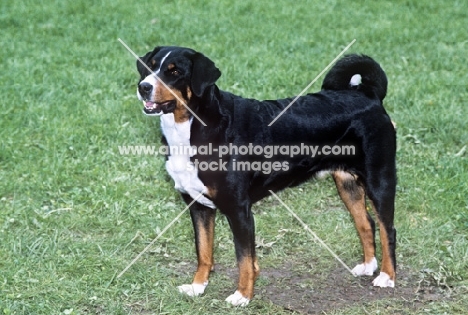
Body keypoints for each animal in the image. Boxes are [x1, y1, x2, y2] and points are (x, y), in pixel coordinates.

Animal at [134, 45, 394, 308]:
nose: (143, 87)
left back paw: (387, 276)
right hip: (347, 183)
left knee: (387, 230)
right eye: (149, 67)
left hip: (379, 180)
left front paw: (242, 295)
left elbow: (244, 259)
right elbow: (204, 252)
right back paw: (368, 266)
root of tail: (367, 95)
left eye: (175, 72)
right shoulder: (198, 206)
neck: (191, 128)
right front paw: (198, 286)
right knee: (366, 223)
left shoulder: (239, 209)